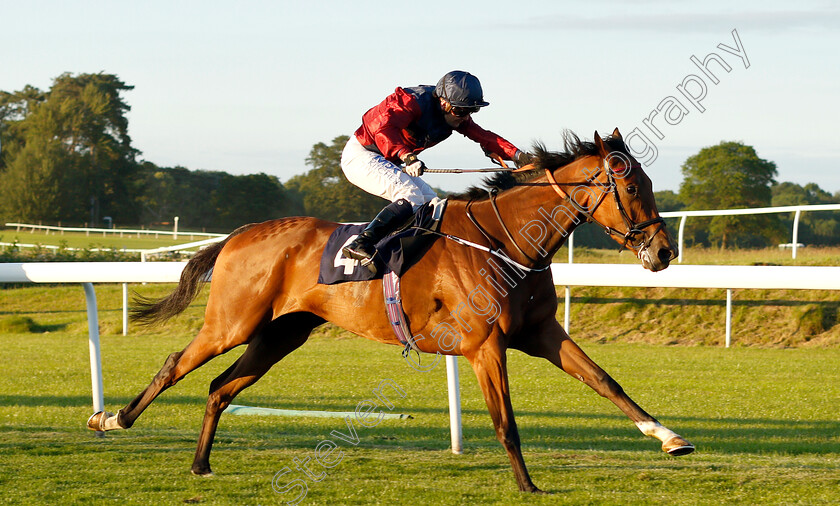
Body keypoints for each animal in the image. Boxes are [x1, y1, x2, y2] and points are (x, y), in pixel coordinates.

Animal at [88, 128, 696, 492]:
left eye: (648, 181)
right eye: (631, 186)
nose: (664, 252)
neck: (504, 240)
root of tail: (238, 235)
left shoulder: (541, 332)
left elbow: (607, 382)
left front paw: (671, 438)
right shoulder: (485, 345)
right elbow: (506, 421)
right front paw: (526, 484)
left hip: (281, 335)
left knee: (219, 387)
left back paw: (200, 463)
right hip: (232, 323)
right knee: (176, 365)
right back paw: (111, 418)